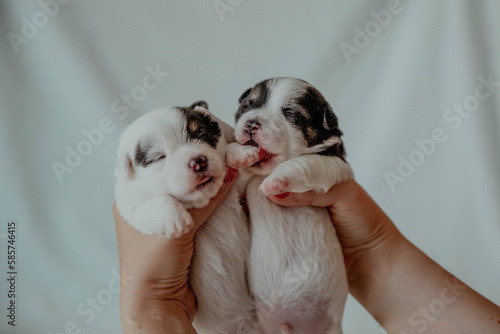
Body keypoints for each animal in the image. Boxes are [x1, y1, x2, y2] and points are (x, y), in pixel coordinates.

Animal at [115, 100, 258, 332]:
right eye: (158, 157)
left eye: (200, 134)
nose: (199, 161)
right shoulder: (132, 208)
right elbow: (158, 202)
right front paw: (177, 220)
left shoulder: (238, 186)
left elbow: (229, 157)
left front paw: (240, 153)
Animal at [229, 77, 354, 334]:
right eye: (247, 105)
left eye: (291, 113)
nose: (251, 124)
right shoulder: (241, 187)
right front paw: (239, 154)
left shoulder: (334, 164)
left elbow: (304, 162)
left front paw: (275, 181)